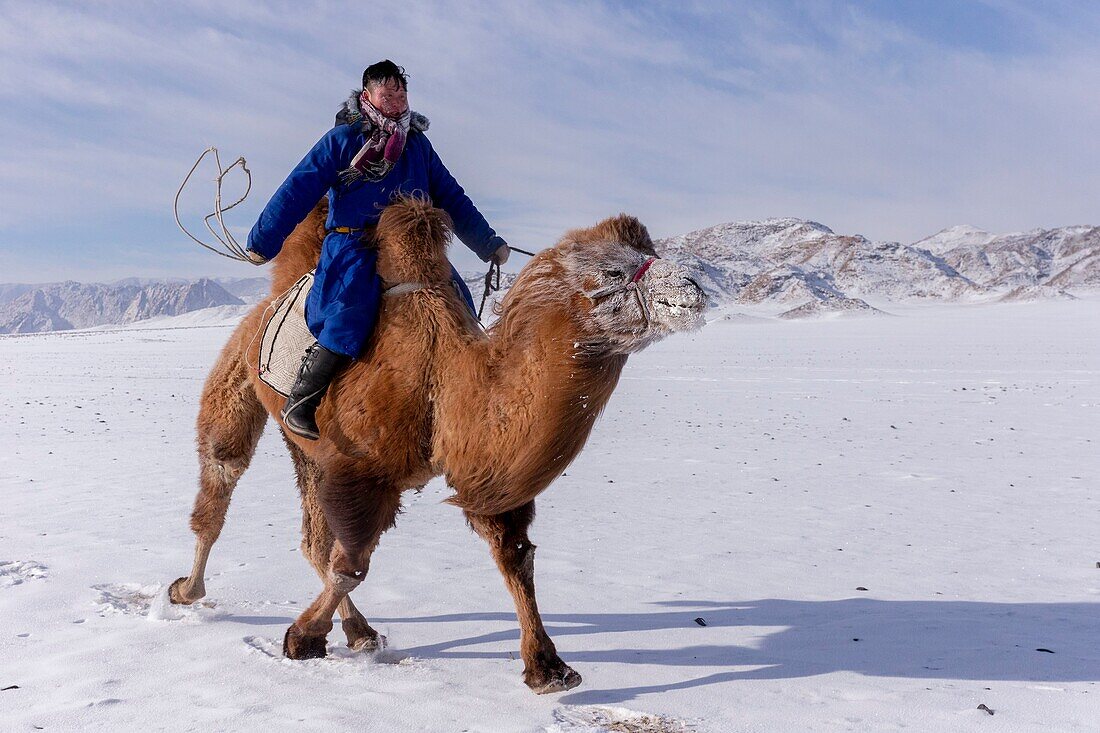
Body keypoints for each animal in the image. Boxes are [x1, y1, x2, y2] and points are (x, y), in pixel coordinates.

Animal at [168, 195, 708, 691]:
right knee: (222, 476)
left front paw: (548, 667)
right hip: (237, 375)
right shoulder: (359, 469)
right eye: (613, 270)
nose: (694, 289)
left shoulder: (484, 474)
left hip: (305, 446)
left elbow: (516, 555)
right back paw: (187, 590)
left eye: (648, 252)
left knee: (310, 537)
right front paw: (303, 638)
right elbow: (351, 563)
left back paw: (359, 630)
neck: (442, 387)